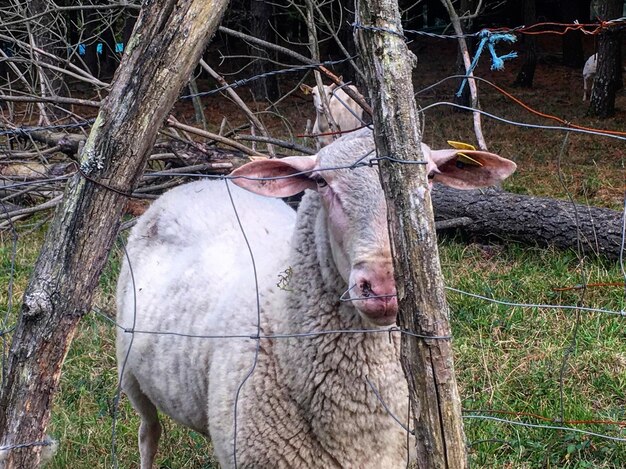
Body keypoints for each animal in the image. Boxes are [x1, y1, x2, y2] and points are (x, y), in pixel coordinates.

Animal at [117, 126, 516, 466]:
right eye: (322, 181)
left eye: (430, 177)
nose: (383, 286)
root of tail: (199, 182)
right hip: (129, 369)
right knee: (148, 432)